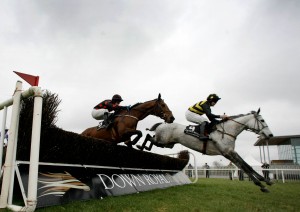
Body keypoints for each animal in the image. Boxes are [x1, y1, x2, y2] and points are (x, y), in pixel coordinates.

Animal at [138, 109, 274, 192]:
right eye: (262, 120)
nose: (270, 135)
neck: (227, 131)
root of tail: (162, 124)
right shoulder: (227, 153)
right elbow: (242, 167)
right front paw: (261, 185)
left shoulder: (231, 152)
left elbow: (247, 166)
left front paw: (266, 180)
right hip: (162, 141)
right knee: (149, 137)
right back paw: (140, 146)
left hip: (168, 144)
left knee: (151, 138)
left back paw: (143, 147)